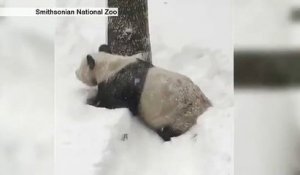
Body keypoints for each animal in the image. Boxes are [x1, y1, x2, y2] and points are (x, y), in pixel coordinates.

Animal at [75, 44, 211, 141]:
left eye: (81, 66)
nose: (75, 73)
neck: (110, 66)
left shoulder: (119, 85)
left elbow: (111, 103)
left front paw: (92, 104)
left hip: (180, 115)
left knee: (170, 131)